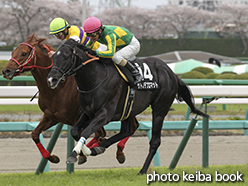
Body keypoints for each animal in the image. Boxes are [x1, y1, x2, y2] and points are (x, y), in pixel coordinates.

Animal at [1, 34, 132, 165]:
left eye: (23, 53)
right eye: (13, 52)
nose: (6, 71)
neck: (58, 89)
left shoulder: (82, 117)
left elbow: (93, 136)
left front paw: (81, 154)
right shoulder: (51, 117)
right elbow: (34, 134)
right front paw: (52, 157)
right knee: (132, 126)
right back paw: (118, 151)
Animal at [46, 38, 207, 174]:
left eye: (66, 57)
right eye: (53, 58)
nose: (51, 80)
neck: (96, 77)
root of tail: (171, 73)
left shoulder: (105, 114)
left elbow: (85, 131)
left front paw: (76, 154)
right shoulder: (88, 113)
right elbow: (75, 131)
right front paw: (86, 152)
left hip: (159, 110)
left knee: (154, 141)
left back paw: (142, 170)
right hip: (128, 110)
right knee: (126, 130)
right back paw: (100, 148)